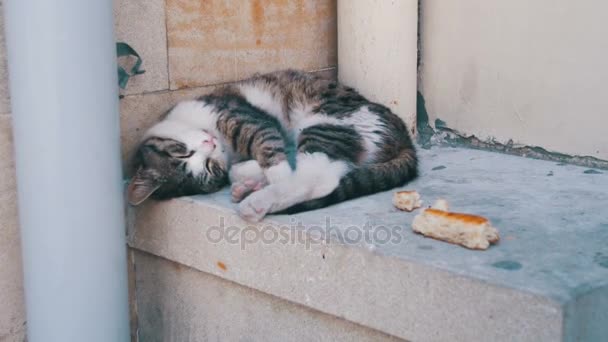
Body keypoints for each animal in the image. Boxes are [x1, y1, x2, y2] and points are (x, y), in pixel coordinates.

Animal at [128, 69, 418, 222]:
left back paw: (258, 198)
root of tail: (405, 136)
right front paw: (250, 173)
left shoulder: (241, 115)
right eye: (210, 169)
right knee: (324, 173)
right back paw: (251, 187)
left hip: (325, 121)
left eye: (182, 151)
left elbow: (266, 143)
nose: (210, 143)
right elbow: (263, 155)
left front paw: (274, 172)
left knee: (314, 176)